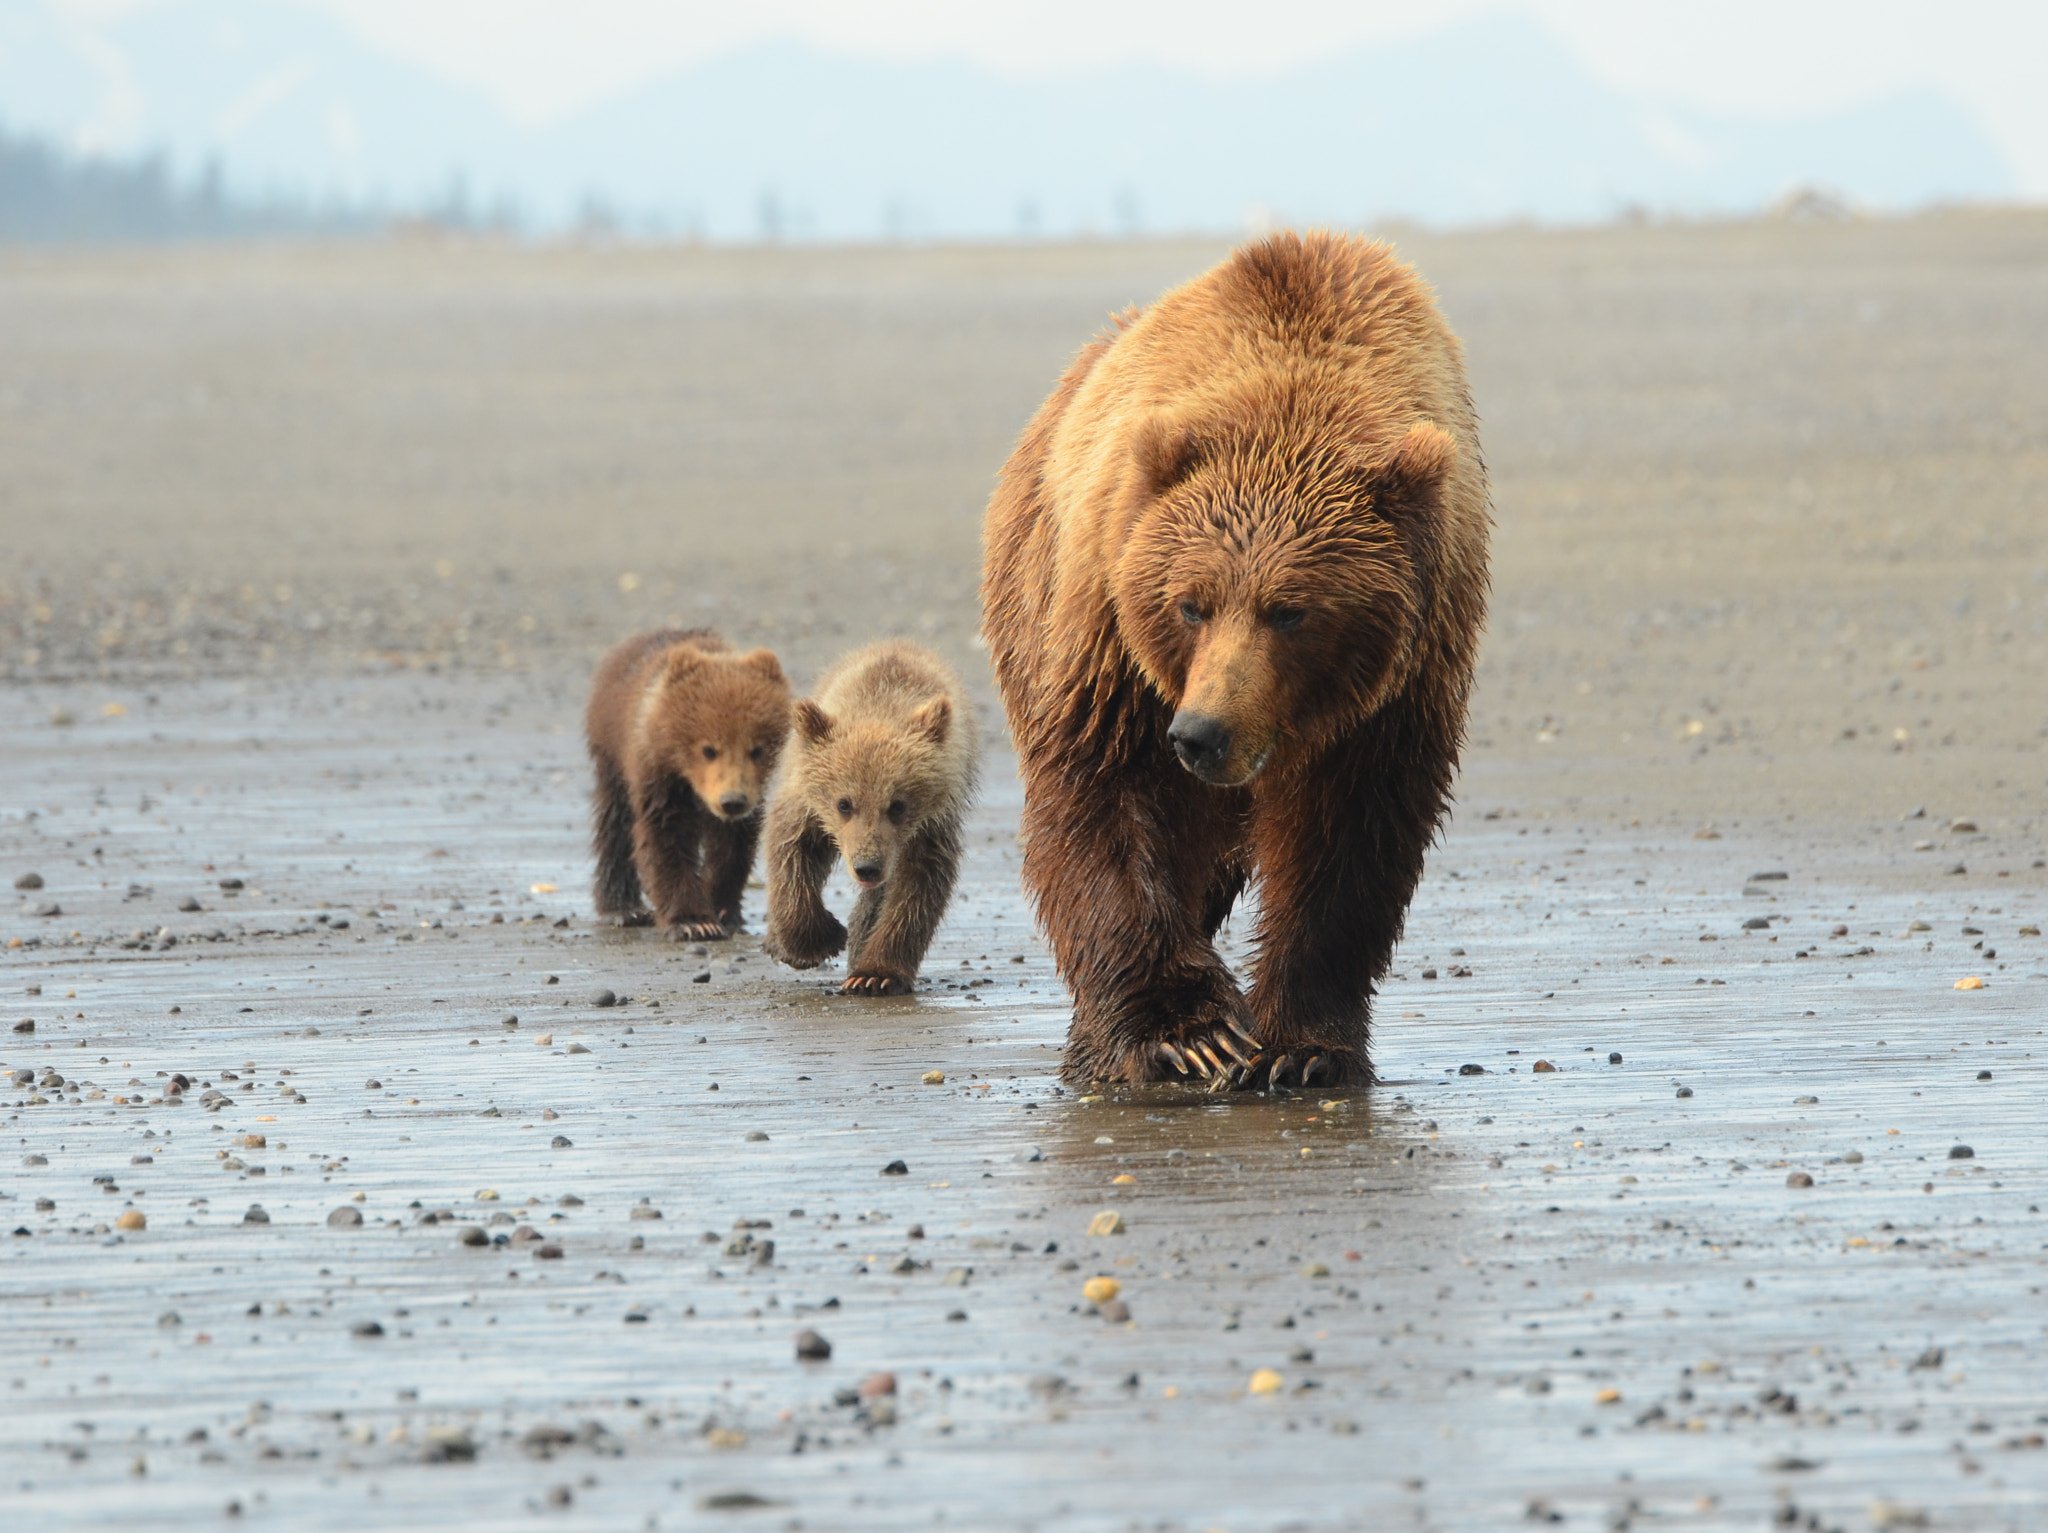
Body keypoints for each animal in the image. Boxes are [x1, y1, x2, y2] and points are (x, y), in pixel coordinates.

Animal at [583, 628, 792, 939]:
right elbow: (666, 838)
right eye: (708, 749)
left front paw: (723, 909)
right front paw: (694, 922)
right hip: (611, 753)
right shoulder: (659, 778)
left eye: (757, 749)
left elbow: (732, 845)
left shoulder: (749, 798)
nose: (732, 801)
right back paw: (623, 909)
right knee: (615, 825)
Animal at [762, 640, 979, 995]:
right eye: (844, 803)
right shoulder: (807, 804)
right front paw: (819, 940)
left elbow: (917, 886)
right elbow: (791, 854)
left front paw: (875, 974)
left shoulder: (930, 824)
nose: (867, 866)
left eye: (897, 805)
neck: (880, 704)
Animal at [981, 231, 1490, 1090]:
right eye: (1192, 602)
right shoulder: (1115, 636)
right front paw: (1186, 1032)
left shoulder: (1400, 686)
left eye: (1292, 609)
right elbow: (1104, 795)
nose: (1202, 733)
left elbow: (1349, 841)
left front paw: (1302, 1047)